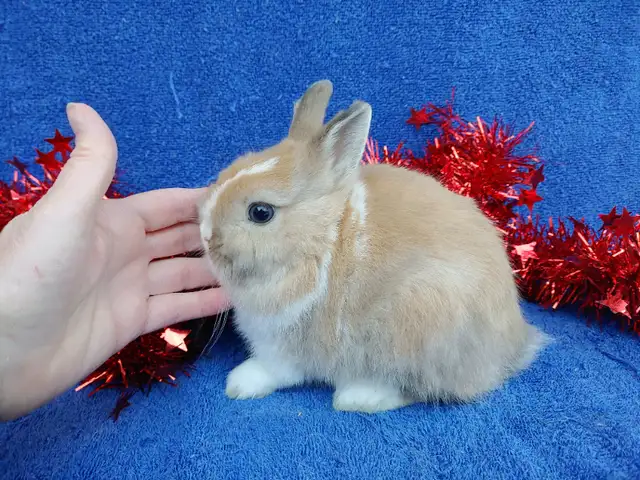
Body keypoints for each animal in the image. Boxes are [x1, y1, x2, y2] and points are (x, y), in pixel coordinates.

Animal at [198, 80, 548, 413]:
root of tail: (513, 344)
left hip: (415, 323)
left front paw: (240, 383)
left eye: (261, 212)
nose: (205, 233)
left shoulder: (285, 342)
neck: (321, 241)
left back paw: (359, 396)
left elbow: (277, 369)